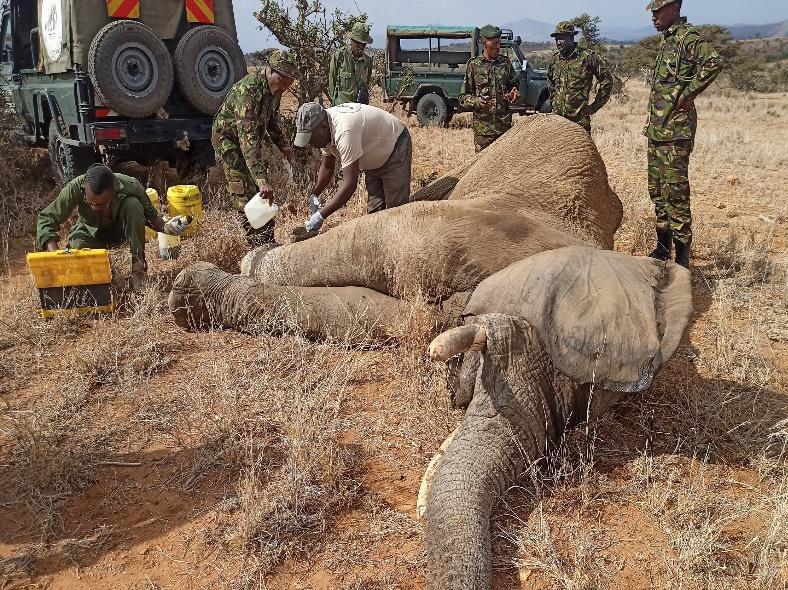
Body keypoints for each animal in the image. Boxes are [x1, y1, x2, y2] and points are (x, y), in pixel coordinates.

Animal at [168, 115, 693, 589]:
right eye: (495, 348)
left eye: (574, 408)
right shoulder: (449, 233)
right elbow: (374, 247)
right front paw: (233, 268)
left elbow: (380, 314)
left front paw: (195, 296)